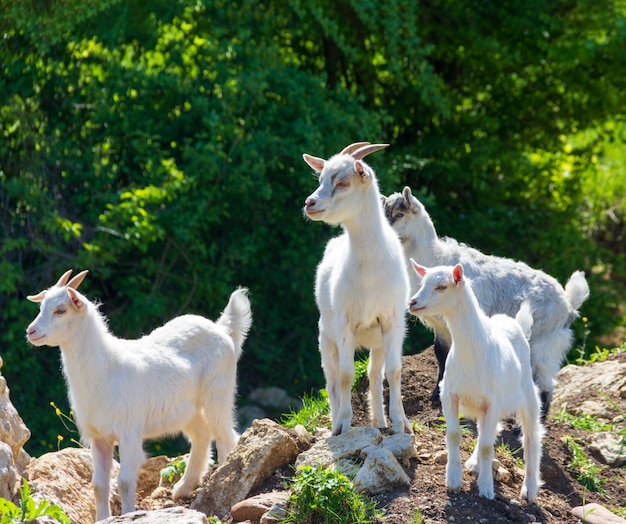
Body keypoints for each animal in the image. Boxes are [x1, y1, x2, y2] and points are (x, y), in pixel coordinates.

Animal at [26, 270, 251, 520]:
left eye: (60, 310)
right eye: (41, 306)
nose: (31, 331)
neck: (106, 370)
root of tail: (223, 329)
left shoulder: (129, 432)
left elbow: (124, 481)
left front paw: (127, 514)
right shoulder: (99, 437)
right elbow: (99, 485)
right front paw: (103, 518)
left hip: (218, 392)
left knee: (225, 435)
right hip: (187, 409)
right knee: (202, 435)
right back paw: (182, 488)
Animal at [302, 142, 410, 434]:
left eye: (343, 182)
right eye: (320, 179)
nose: (309, 203)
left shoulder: (392, 321)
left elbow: (394, 371)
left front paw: (401, 423)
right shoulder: (345, 324)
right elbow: (346, 375)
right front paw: (343, 425)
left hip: (377, 340)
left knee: (374, 374)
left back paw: (380, 422)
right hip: (325, 337)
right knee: (331, 378)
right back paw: (337, 419)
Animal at [380, 185, 588, 418]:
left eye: (400, 214)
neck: (436, 258)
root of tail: (568, 304)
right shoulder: (441, 327)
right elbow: (441, 355)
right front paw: (436, 394)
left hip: (546, 342)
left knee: (544, 382)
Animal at [410, 262, 540, 504]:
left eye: (441, 286)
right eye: (422, 283)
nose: (412, 302)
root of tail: (514, 322)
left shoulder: (493, 402)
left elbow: (488, 446)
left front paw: (487, 489)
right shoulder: (449, 394)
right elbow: (454, 435)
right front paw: (453, 480)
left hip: (527, 395)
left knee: (530, 438)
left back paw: (529, 489)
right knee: (487, 431)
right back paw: (474, 463)